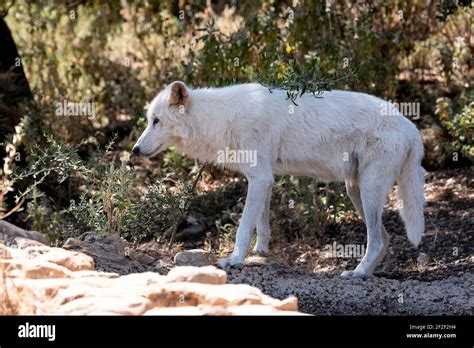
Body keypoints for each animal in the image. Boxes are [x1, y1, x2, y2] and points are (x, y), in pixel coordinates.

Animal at [133, 81, 426, 278]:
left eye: (156, 121)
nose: (135, 150)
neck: (221, 119)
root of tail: (412, 128)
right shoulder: (264, 178)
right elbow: (261, 223)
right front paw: (260, 253)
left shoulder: (260, 178)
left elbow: (243, 227)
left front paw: (235, 259)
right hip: (356, 190)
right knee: (385, 238)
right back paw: (366, 273)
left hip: (368, 190)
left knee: (376, 240)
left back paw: (357, 273)